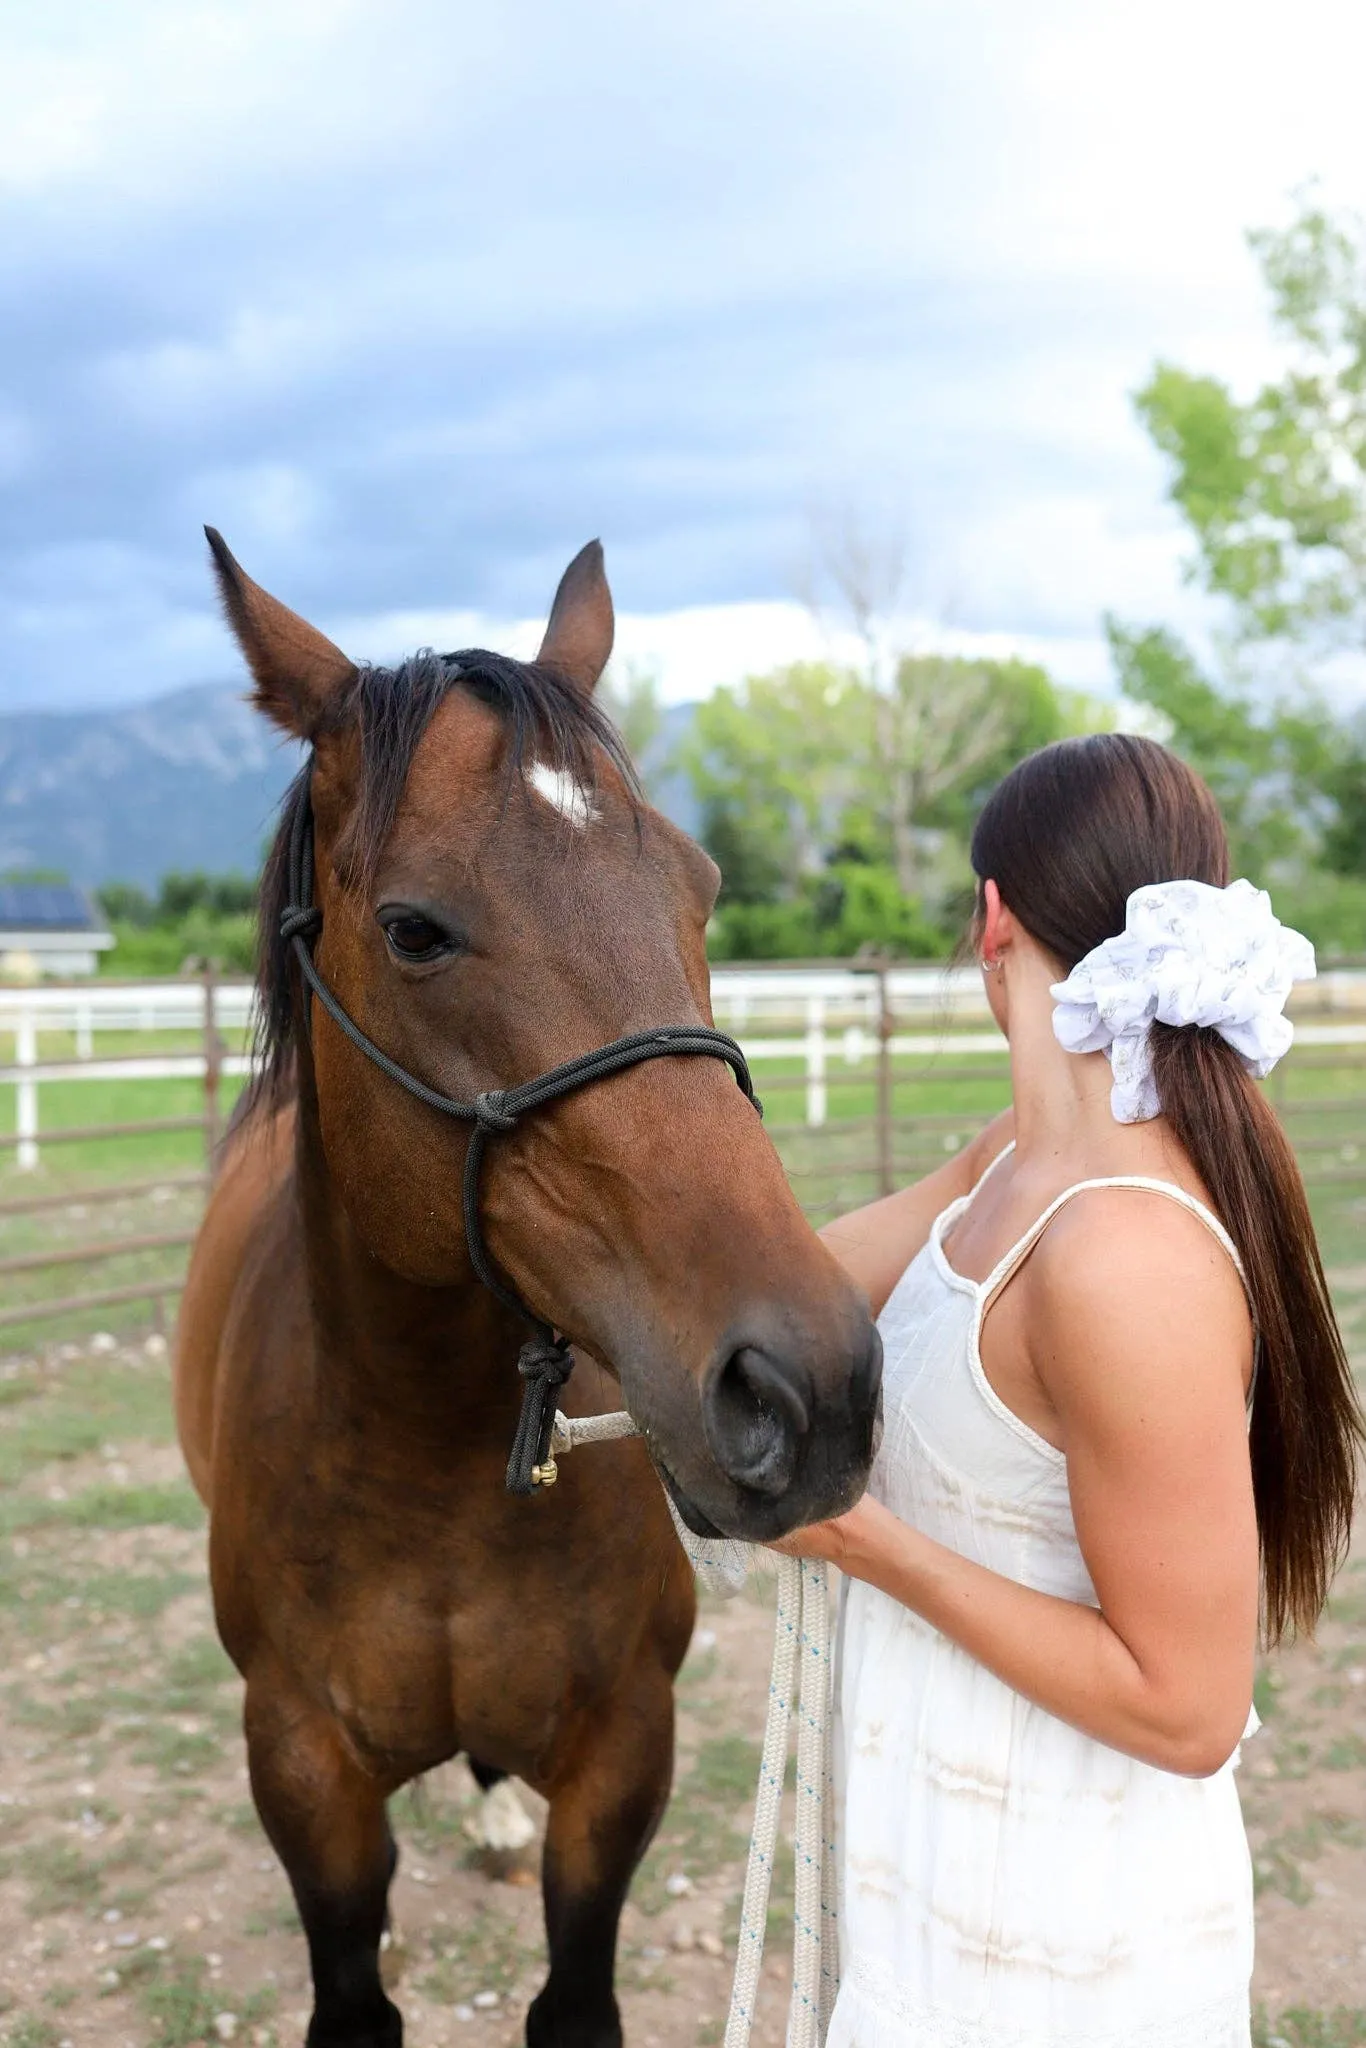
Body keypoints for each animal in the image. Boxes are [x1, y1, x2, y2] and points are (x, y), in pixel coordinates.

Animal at [176, 536, 880, 2048]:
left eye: (698, 885)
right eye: (414, 929)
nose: (808, 1388)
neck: (424, 1451)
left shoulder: (620, 1759)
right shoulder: (304, 1774)